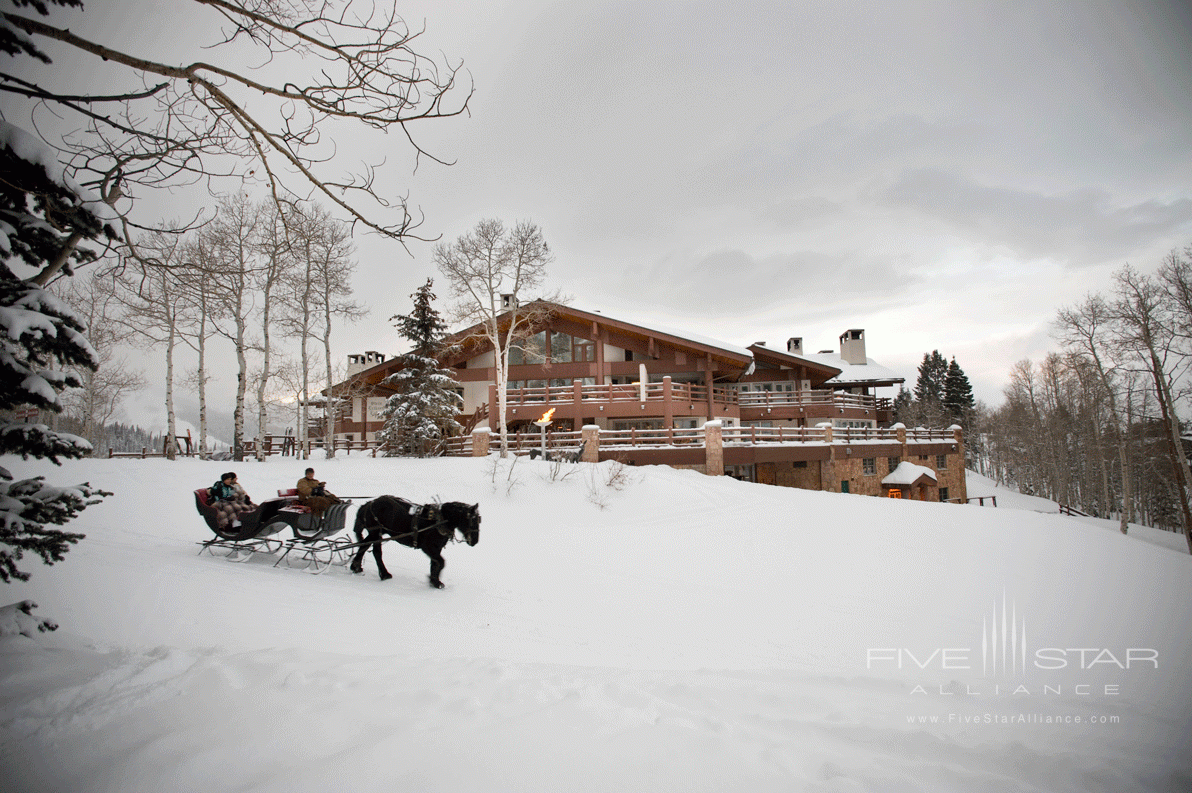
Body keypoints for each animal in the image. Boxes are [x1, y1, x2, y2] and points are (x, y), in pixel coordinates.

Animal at [350, 496, 481, 586]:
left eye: (479, 520)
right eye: (472, 521)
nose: (475, 541)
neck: (439, 521)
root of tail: (369, 504)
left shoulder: (436, 548)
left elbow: (435, 563)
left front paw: (434, 581)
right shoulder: (428, 547)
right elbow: (441, 562)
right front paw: (434, 581)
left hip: (376, 533)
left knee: (364, 546)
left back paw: (356, 567)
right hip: (376, 533)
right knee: (375, 552)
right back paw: (384, 574)